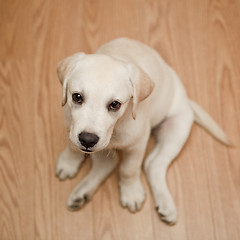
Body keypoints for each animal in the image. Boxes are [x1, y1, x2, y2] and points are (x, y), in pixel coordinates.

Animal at [55, 38, 230, 225]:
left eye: (115, 104)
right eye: (77, 97)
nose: (88, 139)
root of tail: (186, 100)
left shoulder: (137, 144)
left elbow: (129, 169)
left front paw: (131, 193)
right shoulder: (70, 125)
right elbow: (72, 146)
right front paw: (68, 162)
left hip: (176, 129)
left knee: (153, 165)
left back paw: (166, 205)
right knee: (109, 163)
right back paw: (81, 193)